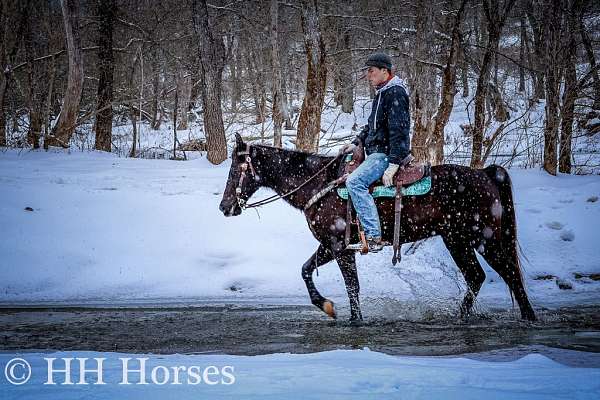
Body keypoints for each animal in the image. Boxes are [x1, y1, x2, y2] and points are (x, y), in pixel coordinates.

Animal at [218, 134, 536, 322]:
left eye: (236, 168)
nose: (224, 207)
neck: (319, 183)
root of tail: (486, 174)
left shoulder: (340, 246)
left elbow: (352, 286)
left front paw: (354, 320)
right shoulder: (330, 245)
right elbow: (306, 269)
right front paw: (327, 306)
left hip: (486, 238)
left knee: (510, 275)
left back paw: (528, 318)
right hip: (456, 239)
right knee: (476, 276)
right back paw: (461, 317)